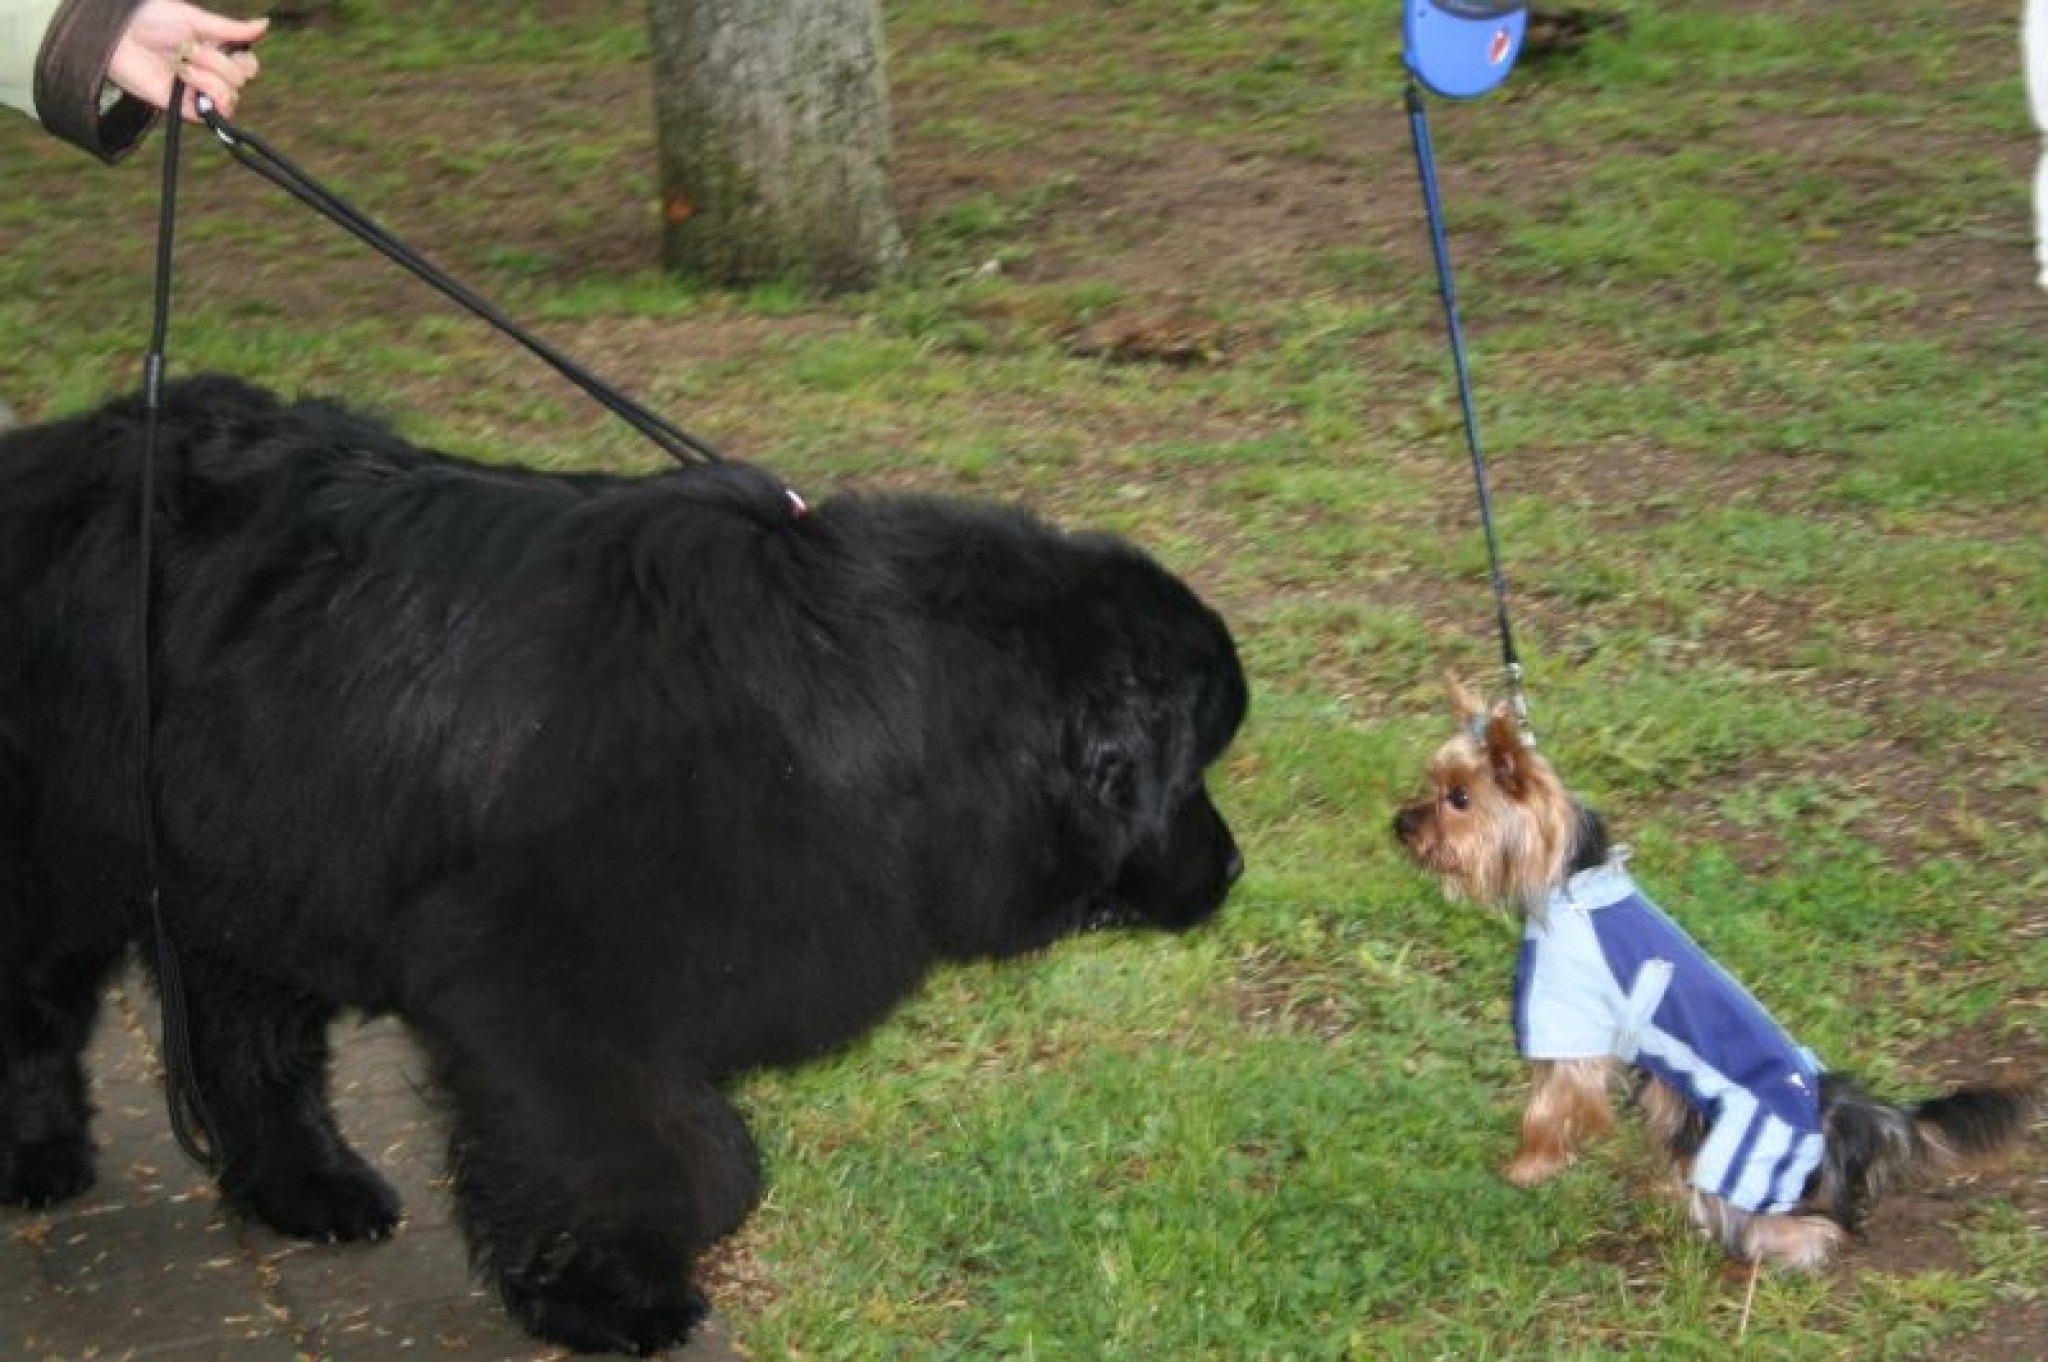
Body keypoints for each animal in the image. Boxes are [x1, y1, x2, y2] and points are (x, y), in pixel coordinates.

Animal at [0, 374, 1245, 1351]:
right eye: (1188, 770)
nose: (1232, 870)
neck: (865, 709)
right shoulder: (549, 996)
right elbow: (655, 1154)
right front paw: (611, 1299)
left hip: (247, 852)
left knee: (243, 1029)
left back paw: (310, 1187)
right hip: (76, 852)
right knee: (38, 1010)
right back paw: (37, 1157)